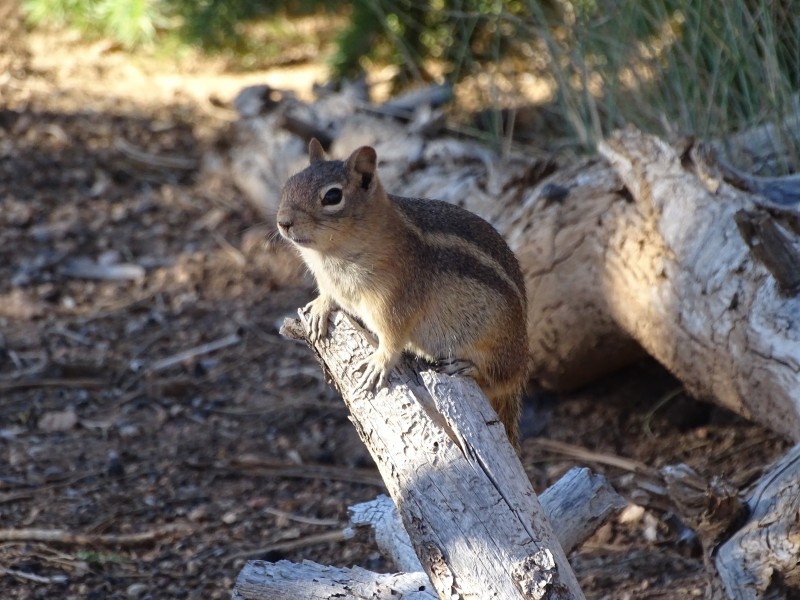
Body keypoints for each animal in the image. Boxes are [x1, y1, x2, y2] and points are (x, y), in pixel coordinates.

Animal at [278, 141, 528, 448]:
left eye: (332, 196)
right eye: (288, 184)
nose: (283, 222)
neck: (330, 258)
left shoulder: (394, 301)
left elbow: (392, 339)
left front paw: (378, 363)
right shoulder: (331, 283)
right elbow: (328, 296)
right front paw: (320, 307)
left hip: (496, 347)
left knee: (498, 378)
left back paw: (466, 367)